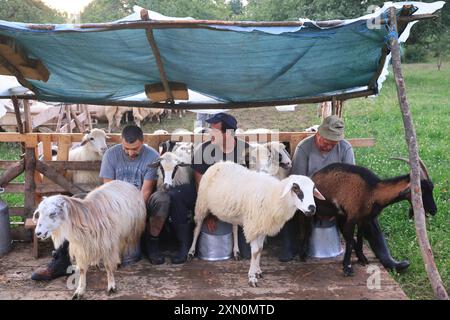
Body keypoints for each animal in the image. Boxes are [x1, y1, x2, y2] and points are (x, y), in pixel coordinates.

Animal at [188, 162, 326, 288]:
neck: (274, 196)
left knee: (234, 228)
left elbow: (260, 249)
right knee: (197, 228)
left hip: (234, 212)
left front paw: (258, 271)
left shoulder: (263, 224)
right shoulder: (254, 225)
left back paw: (236, 252)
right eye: (296, 189)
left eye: (313, 190)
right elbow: (254, 252)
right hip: (201, 203)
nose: (312, 208)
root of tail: (219, 163)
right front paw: (252, 277)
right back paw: (191, 252)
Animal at [298, 159, 436, 276]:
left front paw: (362, 259)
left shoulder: (363, 219)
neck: (372, 191)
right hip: (309, 213)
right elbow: (349, 242)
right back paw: (302, 256)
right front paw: (347, 268)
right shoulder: (352, 218)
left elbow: (359, 239)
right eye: (422, 190)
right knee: (307, 230)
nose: (434, 210)